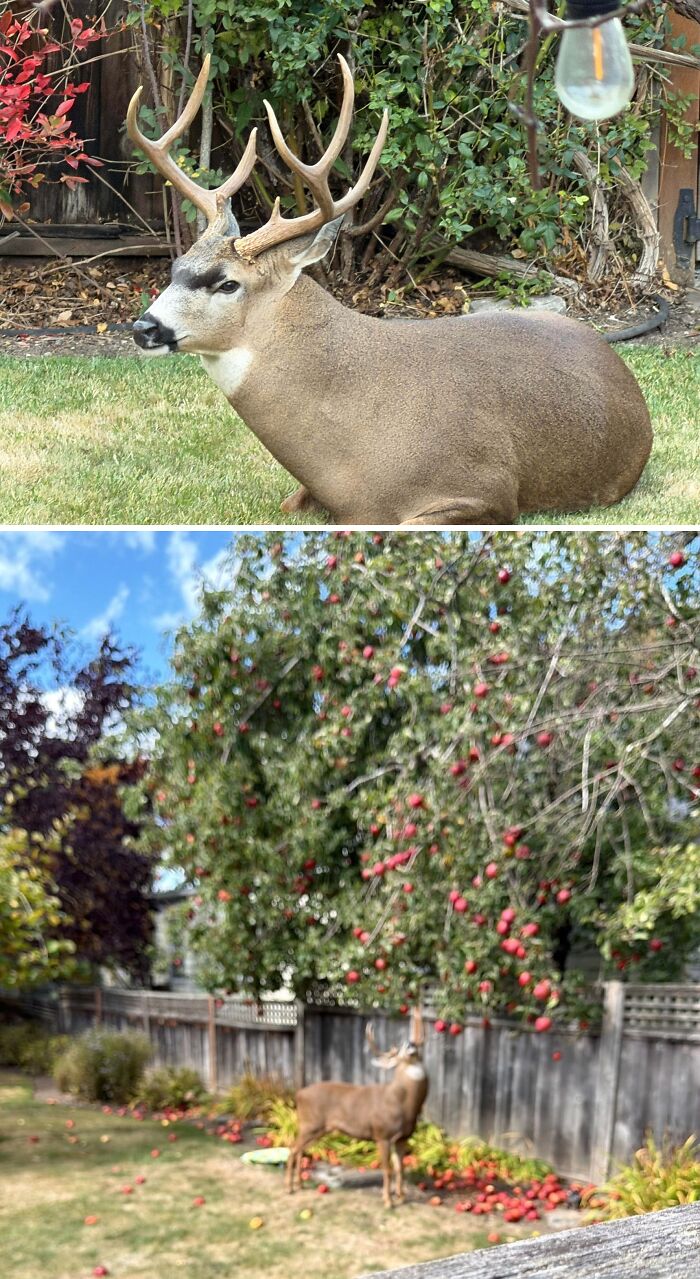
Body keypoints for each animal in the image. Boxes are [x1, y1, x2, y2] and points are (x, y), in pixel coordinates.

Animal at [285, 1008, 429, 1208]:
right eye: (399, 1052)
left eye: (416, 1046)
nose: (411, 1043)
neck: (403, 1105)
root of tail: (299, 1095)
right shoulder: (382, 1134)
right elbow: (388, 1169)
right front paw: (388, 1201)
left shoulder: (403, 1137)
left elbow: (401, 1168)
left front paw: (401, 1197)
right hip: (309, 1124)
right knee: (292, 1149)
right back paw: (289, 1188)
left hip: (317, 1129)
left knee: (300, 1151)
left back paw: (299, 1184)